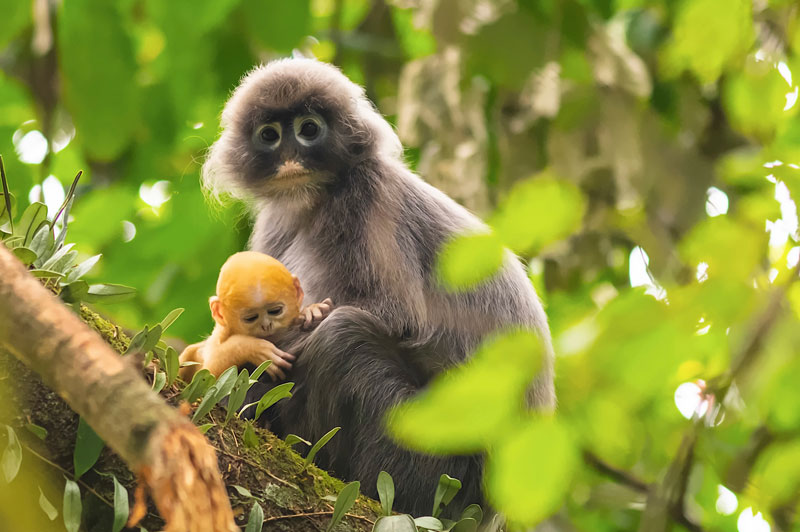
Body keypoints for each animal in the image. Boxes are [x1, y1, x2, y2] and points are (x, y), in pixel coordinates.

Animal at [179, 250, 334, 380]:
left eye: (275, 311)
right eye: (251, 318)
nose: (266, 325)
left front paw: (311, 310)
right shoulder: (221, 333)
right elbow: (209, 371)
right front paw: (253, 348)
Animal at [200, 57, 552, 516]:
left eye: (308, 129)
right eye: (270, 135)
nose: (291, 159)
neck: (317, 198)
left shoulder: (369, 196)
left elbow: (395, 315)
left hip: (432, 466)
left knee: (343, 335)